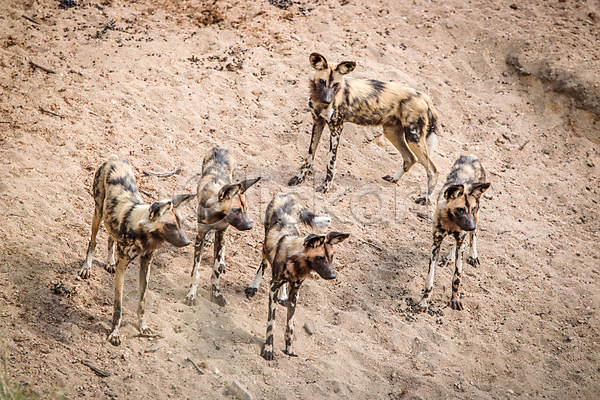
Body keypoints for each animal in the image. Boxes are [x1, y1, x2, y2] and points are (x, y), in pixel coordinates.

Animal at [79, 155, 195, 346]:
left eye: (181, 223)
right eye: (170, 225)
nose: (187, 242)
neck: (144, 236)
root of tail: (114, 158)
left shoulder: (145, 264)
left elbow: (142, 302)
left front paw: (143, 327)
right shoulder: (123, 267)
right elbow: (118, 306)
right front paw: (115, 333)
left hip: (109, 220)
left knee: (111, 238)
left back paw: (110, 262)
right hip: (98, 213)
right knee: (92, 242)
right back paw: (86, 268)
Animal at [185, 148, 260, 308]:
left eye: (245, 210)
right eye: (236, 210)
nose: (249, 226)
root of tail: (222, 147)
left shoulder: (221, 234)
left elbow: (215, 271)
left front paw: (216, 294)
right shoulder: (199, 238)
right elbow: (196, 271)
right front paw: (191, 295)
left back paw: (222, 262)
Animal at [256, 192, 350, 360]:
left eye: (332, 256)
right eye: (319, 258)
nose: (332, 276)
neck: (296, 265)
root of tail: (286, 194)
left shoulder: (295, 293)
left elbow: (290, 326)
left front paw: (289, 349)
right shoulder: (272, 288)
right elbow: (271, 323)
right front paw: (268, 349)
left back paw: (282, 296)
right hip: (265, 244)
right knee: (263, 264)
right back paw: (252, 286)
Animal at [288, 51, 438, 203]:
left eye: (336, 84)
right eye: (322, 81)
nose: (327, 100)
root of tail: (424, 96)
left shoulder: (336, 129)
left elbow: (331, 162)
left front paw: (326, 187)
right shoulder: (318, 123)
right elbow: (309, 156)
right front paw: (299, 178)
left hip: (413, 137)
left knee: (432, 170)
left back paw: (425, 199)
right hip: (392, 133)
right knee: (410, 158)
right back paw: (393, 179)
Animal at [414, 155, 490, 310]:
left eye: (471, 209)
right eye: (460, 209)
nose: (471, 226)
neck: (451, 222)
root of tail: (472, 157)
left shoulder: (466, 227)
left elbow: (457, 277)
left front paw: (455, 300)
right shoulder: (436, 244)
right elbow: (430, 278)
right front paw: (424, 300)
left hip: (476, 217)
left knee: (471, 238)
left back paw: (472, 255)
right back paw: (450, 258)